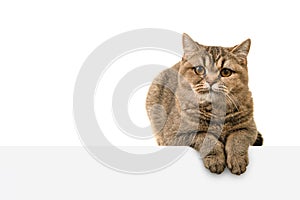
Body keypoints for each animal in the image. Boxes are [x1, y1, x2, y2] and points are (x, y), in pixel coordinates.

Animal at [145, 33, 262, 175]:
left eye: (226, 72)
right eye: (200, 69)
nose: (211, 81)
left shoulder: (249, 128)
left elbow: (237, 139)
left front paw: (236, 159)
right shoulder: (175, 135)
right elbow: (206, 137)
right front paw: (216, 159)